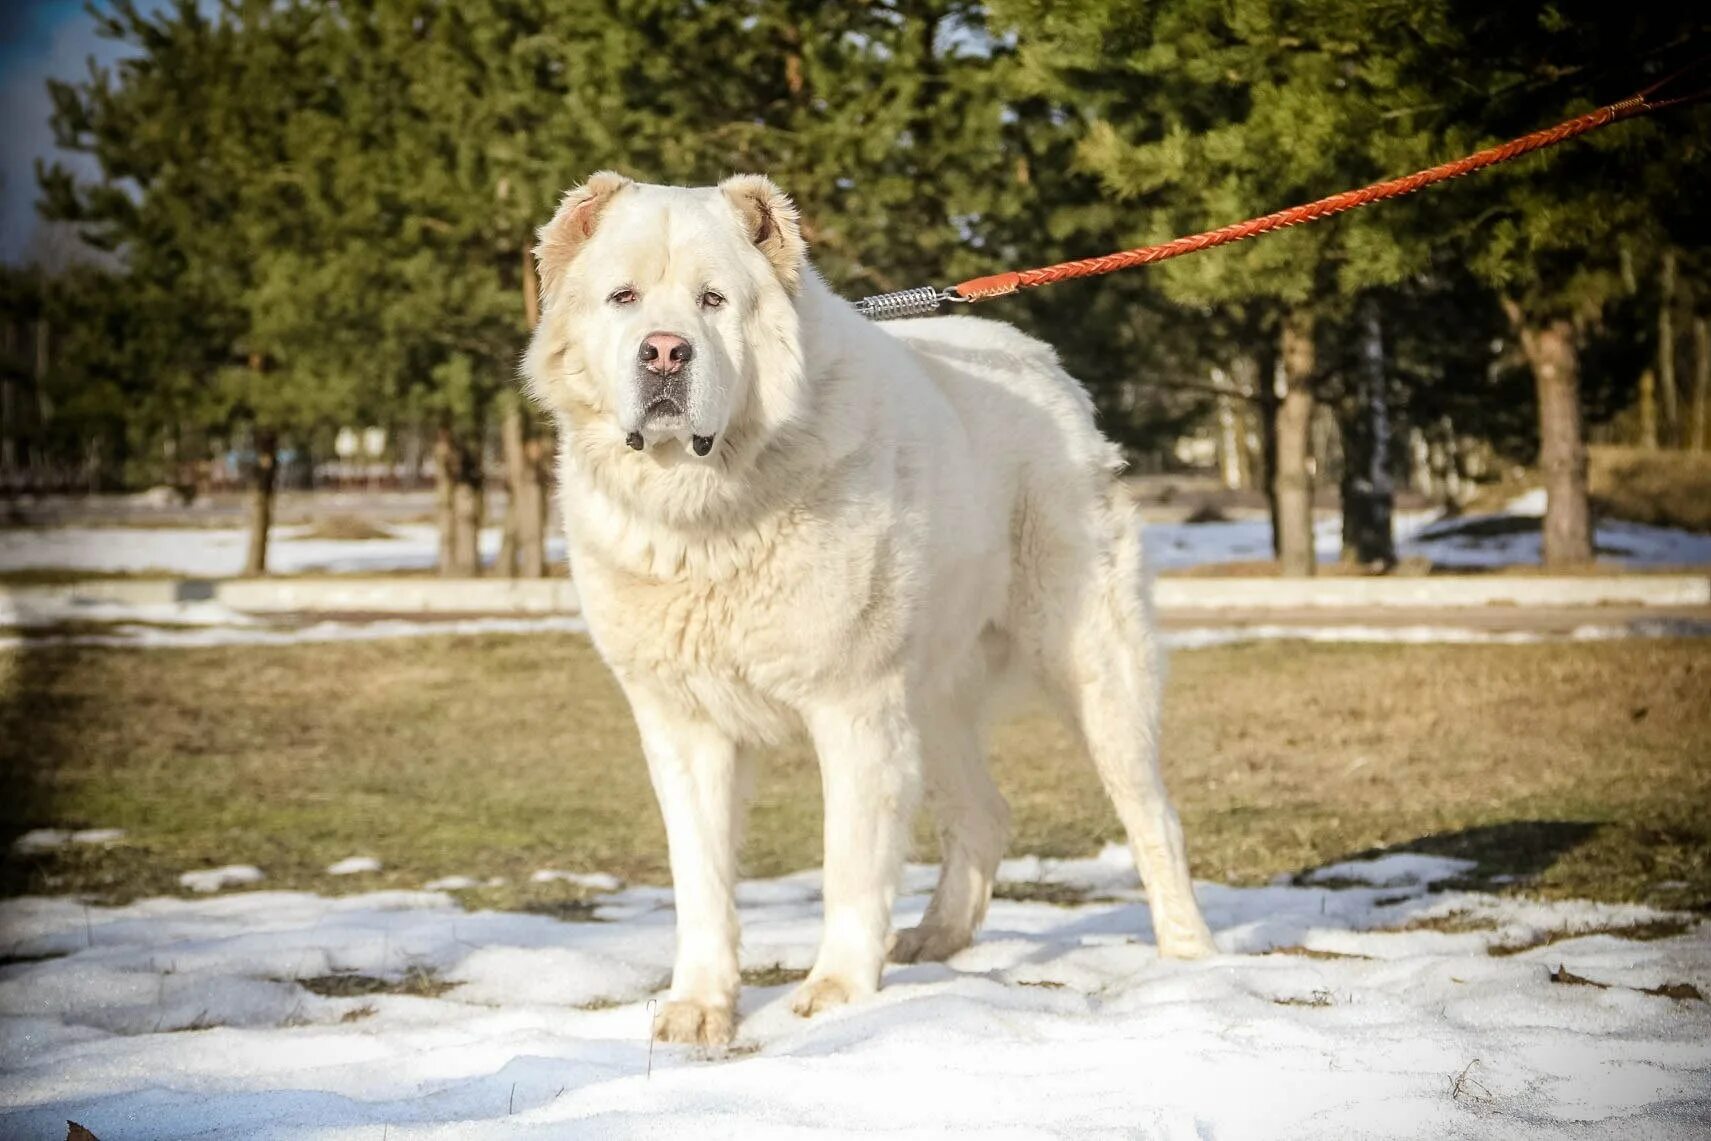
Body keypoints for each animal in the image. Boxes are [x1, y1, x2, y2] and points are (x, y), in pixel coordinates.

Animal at [520, 171, 1218, 1053]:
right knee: (983, 814)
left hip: (1091, 663)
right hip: (931, 695)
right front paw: (699, 1006)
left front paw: (837, 995)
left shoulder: (851, 706)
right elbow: (701, 874)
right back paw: (936, 936)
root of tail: (1042, 362)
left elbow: (848, 859)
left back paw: (1188, 954)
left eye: (714, 300)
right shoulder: (684, 724)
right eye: (624, 297)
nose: (665, 351)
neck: (709, 509)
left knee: (1150, 811)